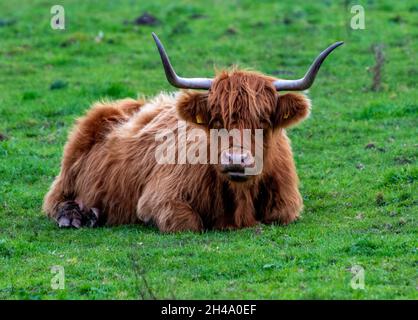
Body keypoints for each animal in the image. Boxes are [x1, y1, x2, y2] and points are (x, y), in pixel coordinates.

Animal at [43, 33, 342, 232]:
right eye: (217, 120)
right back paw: (77, 216)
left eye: (263, 121)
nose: (236, 160)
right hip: (68, 174)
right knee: (54, 200)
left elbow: (280, 215)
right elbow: (188, 223)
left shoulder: (288, 203)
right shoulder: (158, 199)